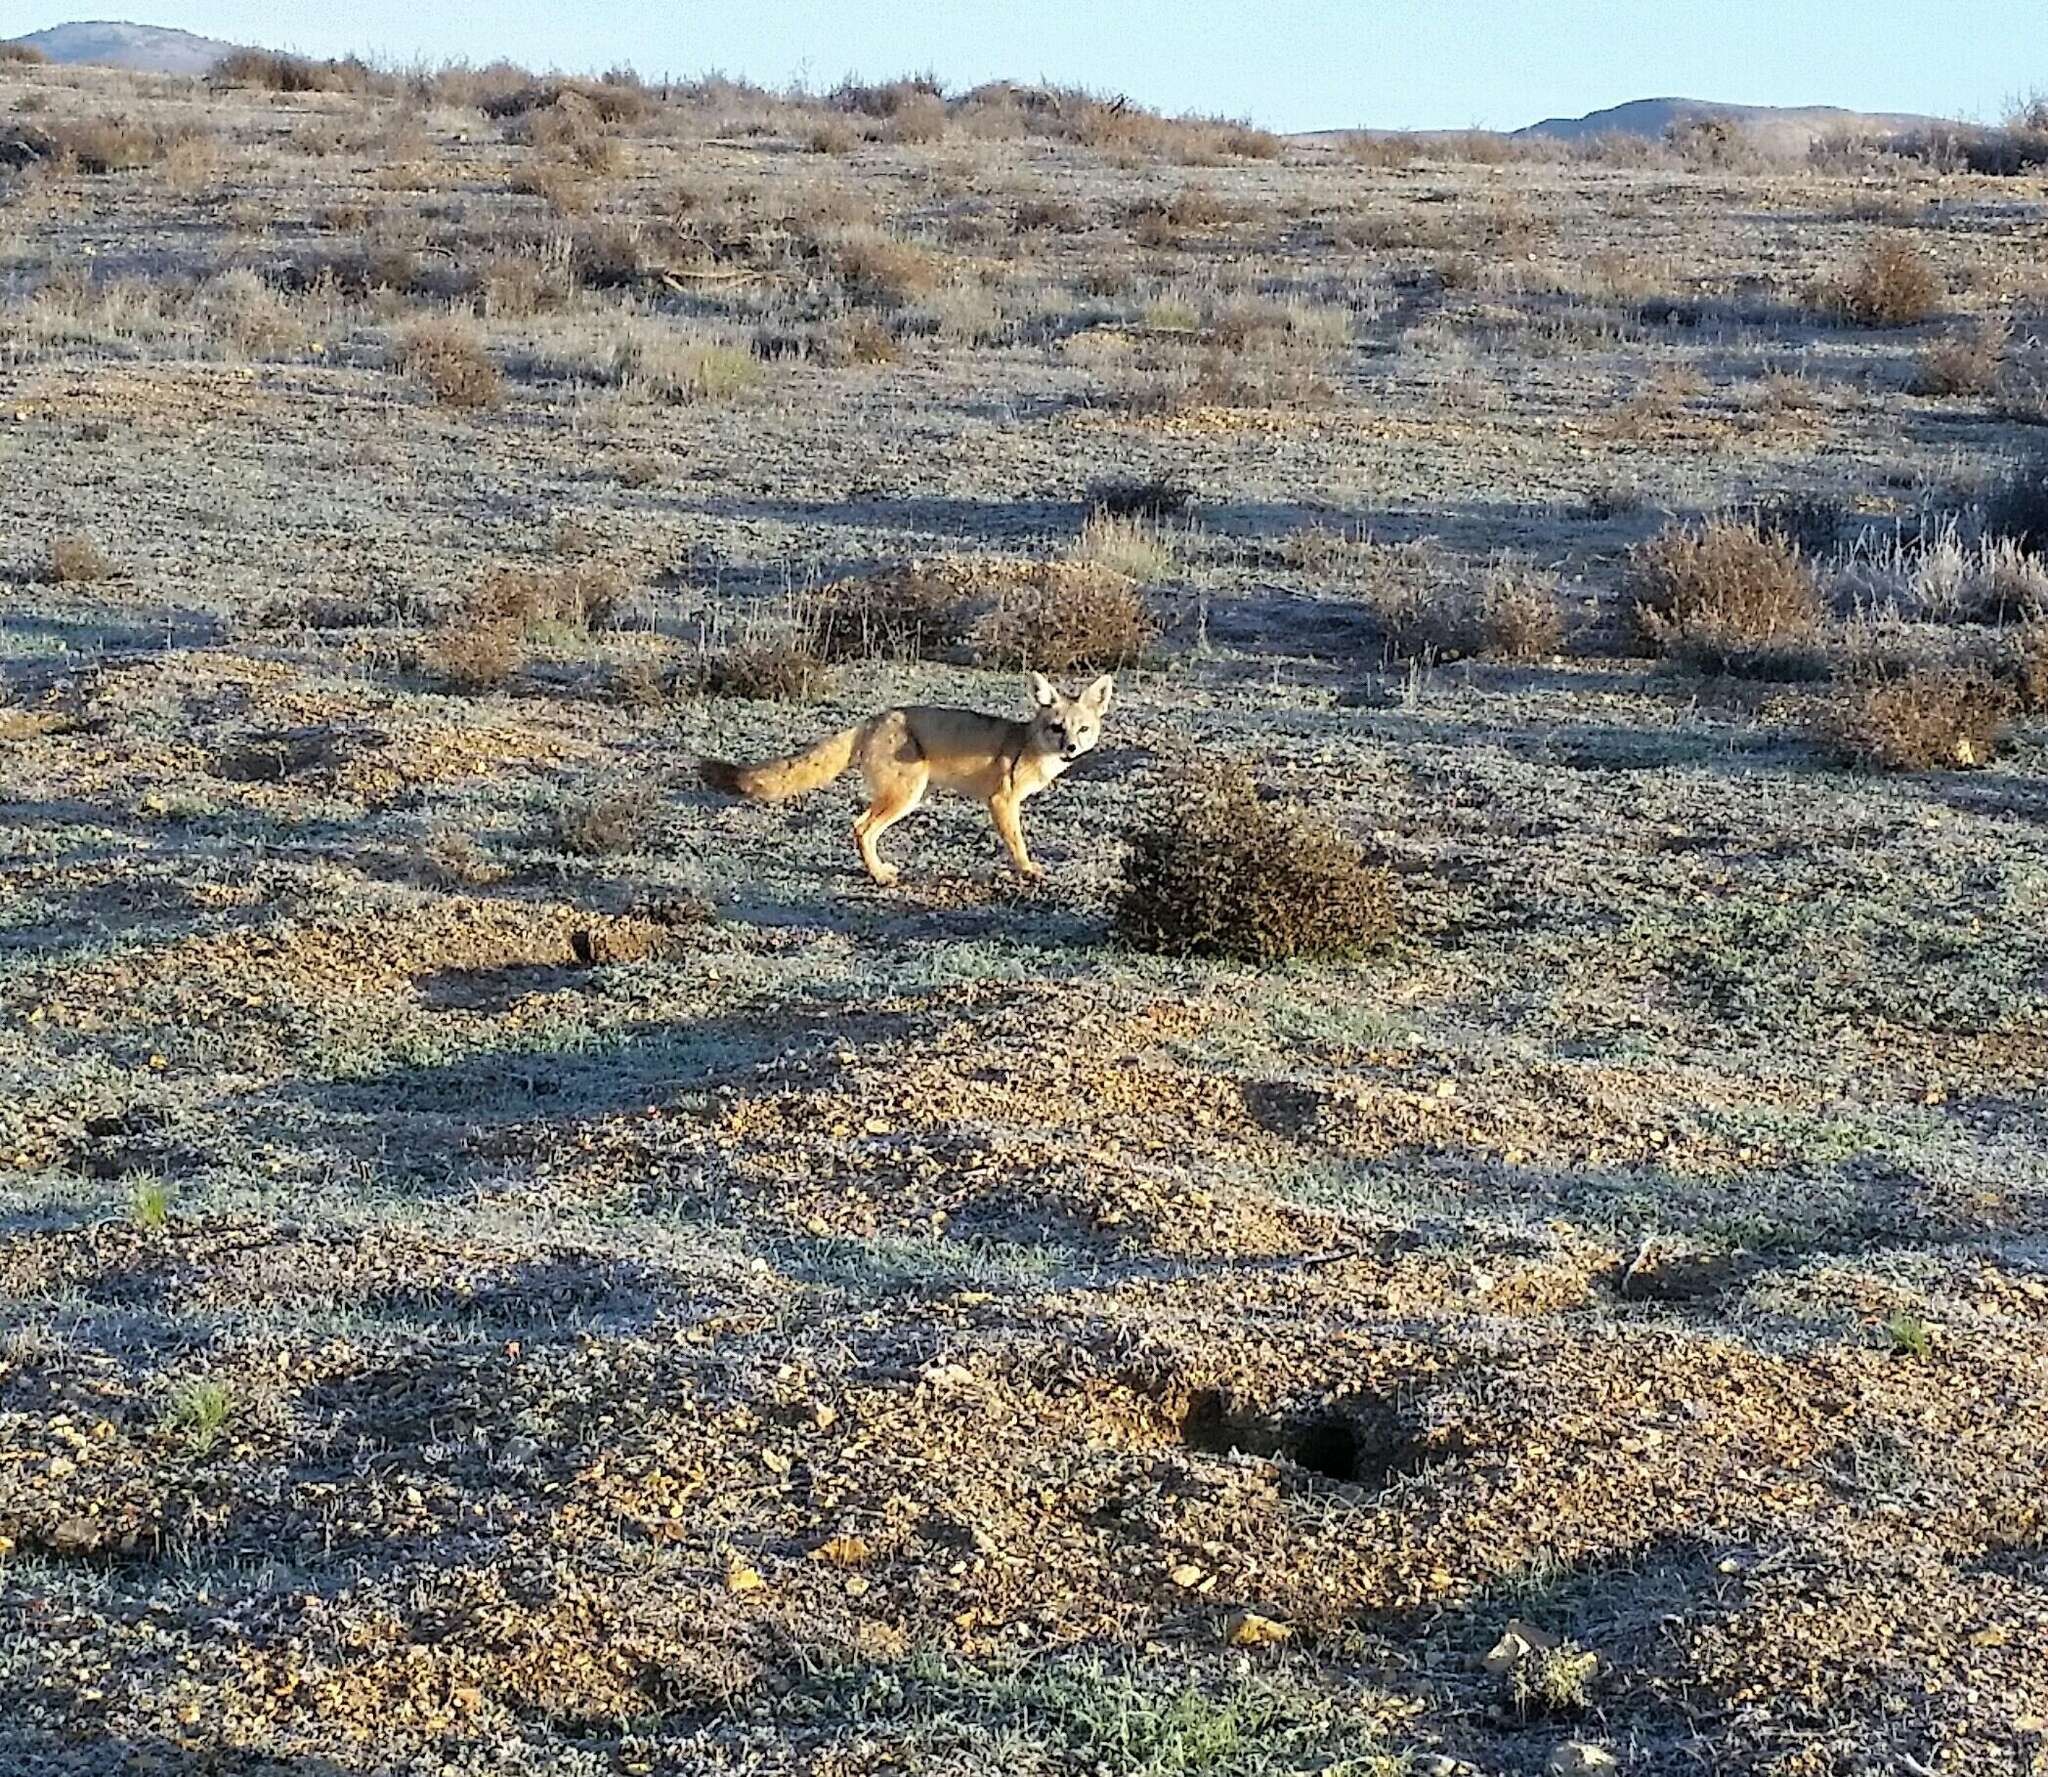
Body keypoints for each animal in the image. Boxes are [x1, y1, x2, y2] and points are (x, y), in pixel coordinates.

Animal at [704, 671, 1122, 884]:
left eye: (1082, 729)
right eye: (1056, 728)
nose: (1070, 748)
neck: (1029, 744)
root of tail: (874, 718)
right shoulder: (1001, 801)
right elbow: (1017, 842)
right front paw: (1027, 869)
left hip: (902, 796)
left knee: (859, 826)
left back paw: (879, 869)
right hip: (905, 796)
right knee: (862, 828)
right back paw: (880, 876)